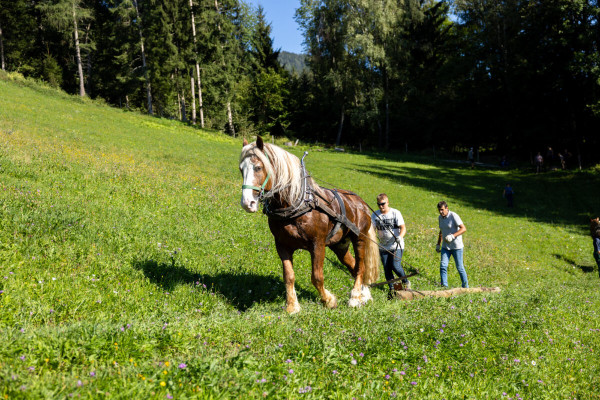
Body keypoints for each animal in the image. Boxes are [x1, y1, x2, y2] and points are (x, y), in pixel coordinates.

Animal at [237, 136, 378, 314]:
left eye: (258, 167)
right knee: (353, 266)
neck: (296, 203)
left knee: (361, 267)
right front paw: (292, 306)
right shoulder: (282, 245)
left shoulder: (317, 244)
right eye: (241, 169)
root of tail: (361, 203)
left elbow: (317, 277)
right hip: (340, 245)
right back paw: (363, 295)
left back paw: (354, 297)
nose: (247, 203)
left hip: (359, 238)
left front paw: (329, 300)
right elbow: (288, 276)